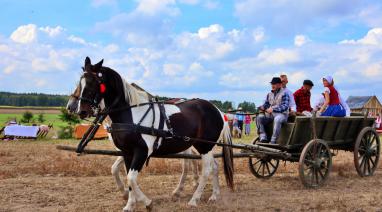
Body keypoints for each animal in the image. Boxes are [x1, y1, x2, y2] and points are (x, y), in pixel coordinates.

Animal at [66, 81, 200, 200]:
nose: (70, 106)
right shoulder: (125, 150)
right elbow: (116, 169)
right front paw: (127, 193)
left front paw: (131, 193)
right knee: (193, 159)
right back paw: (195, 183)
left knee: (187, 164)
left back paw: (179, 190)